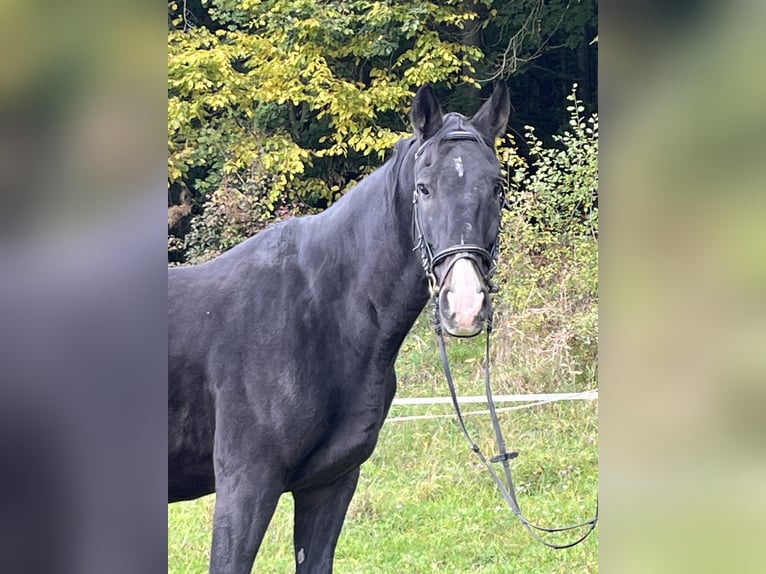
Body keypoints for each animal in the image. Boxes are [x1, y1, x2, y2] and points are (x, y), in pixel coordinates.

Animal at [168, 82, 510, 573]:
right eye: (423, 188)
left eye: (498, 187)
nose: (464, 305)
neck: (318, 314)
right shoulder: (246, 483)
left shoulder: (330, 485)